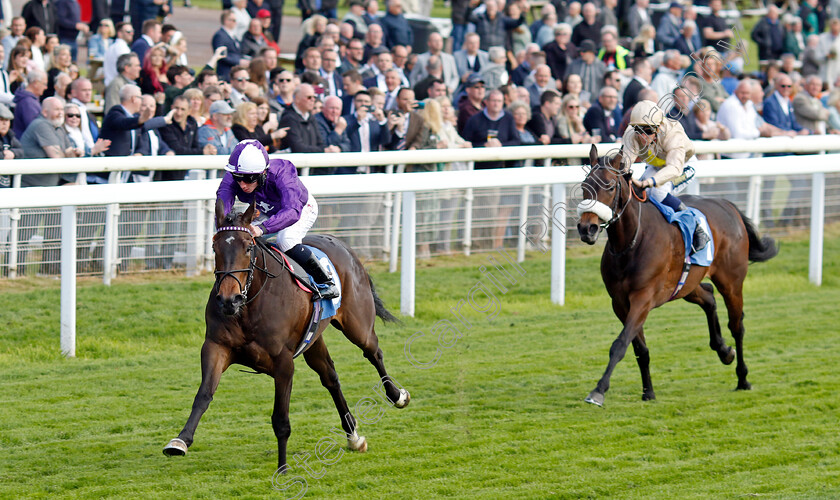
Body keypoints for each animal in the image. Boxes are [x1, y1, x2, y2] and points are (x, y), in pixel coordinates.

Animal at [162, 199, 408, 468]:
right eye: (215, 247)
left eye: (248, 247)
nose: (228, 300)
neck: (249, 305)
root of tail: (342, 244)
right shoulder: (216, 347)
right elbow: (204, 394)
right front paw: (180, 441)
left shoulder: (283, 362)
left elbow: (280, 417)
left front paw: (283, 466)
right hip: (314, 340)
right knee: (331, 377)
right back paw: (353, 437)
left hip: (358, 325)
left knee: (374, 352)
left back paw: (397, 395)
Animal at [576, 145, 776, 406]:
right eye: (584, 186)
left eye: (609, 186)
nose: (586, 229)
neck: (631, 242)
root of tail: (727, 204)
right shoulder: (620, 303)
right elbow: (639, 349)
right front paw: (648, 392)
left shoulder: (643, 298)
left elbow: (620, 344)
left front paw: (598, 390)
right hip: (686, 284)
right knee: (708, 297)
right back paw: (723, 350)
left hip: (731, 281)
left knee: (737, 325)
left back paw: (742, 378)